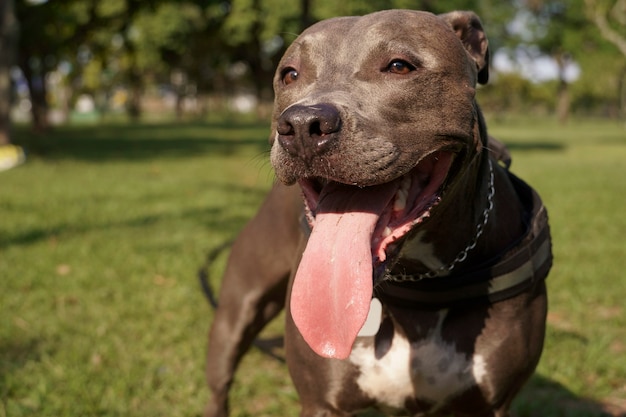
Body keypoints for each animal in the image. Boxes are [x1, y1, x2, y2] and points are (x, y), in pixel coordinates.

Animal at [202, 9, 548, 416]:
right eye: (289, 74)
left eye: (399, 66)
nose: (301, 124)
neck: (418, 279)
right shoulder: (320, 402)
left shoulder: (488, 405)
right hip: (236, 312)